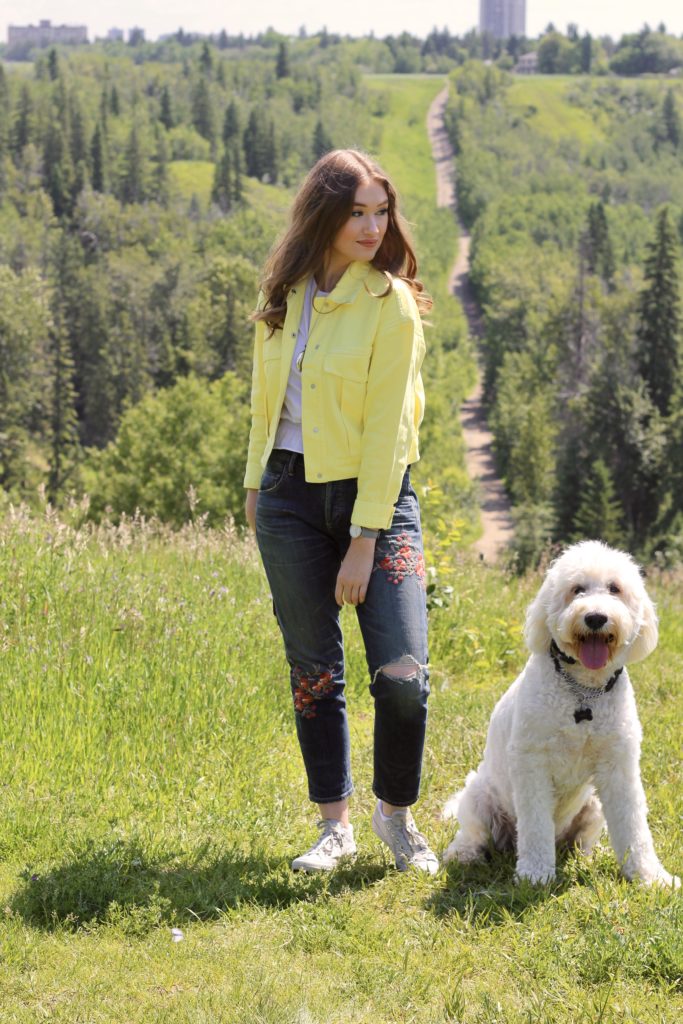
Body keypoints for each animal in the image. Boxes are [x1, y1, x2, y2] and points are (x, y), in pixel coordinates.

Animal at [444, 540, 679, 884]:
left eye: (615, 588)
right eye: (576, 589)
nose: (595, 617)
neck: (583, 691)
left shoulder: (618, 767)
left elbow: (634, 827)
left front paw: (650, 877)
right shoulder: (532, 765)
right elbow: (535, 827)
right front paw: (535, 875)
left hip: (593, 805)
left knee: (580, 840)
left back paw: (586, 856)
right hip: (478, 798)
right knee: (473, 834)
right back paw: (464, 855)